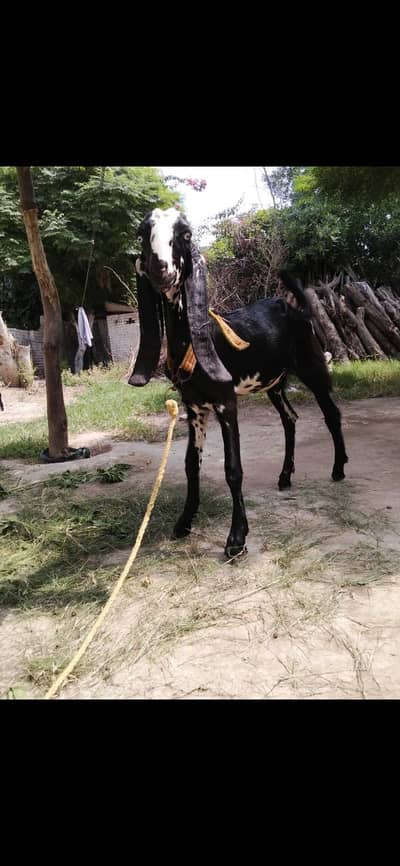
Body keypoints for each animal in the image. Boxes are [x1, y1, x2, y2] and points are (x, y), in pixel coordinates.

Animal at [129, 207, 348, 558]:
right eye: (142, 231)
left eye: (185, 234)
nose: (158, 268)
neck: (194, 340)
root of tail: (296, 309)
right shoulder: (194, 407)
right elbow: (191, 465)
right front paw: (184, 523)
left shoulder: (225, 400)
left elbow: (233, 468)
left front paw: (236, 539)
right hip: (274, 383)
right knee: (290, 418)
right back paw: (284, 476)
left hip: (312, 367)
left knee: (331, 414)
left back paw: (338, 468)